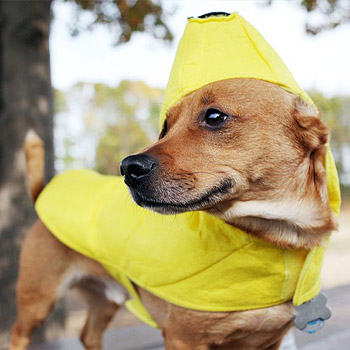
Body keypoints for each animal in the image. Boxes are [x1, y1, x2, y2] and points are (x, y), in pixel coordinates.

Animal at [10, 11, 340, 350]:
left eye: (215, 117)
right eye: (165, 128)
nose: (127, 168)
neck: (278, 235)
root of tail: (42, 193)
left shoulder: (269, 340)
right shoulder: (183, 337)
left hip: (105, 299)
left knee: (88, 334)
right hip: (37, 299)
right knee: (19, 334)